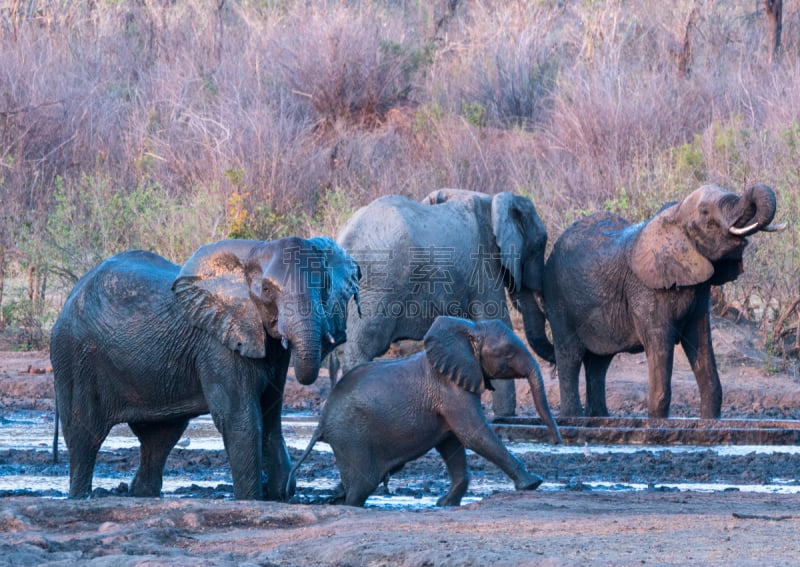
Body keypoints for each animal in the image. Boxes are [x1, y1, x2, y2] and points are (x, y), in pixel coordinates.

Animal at [50, 237, 360, 500]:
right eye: (267, 290)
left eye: (324, 286)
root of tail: (70, 296)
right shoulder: (219, 342)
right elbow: (241, 418)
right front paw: (252, 499)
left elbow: (271, 417)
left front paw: (278, 494)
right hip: (74, 357)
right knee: (85, 436)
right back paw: (80, 496)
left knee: (159, 440)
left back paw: (141, 495)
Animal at [290, 318, 564, 508]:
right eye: (506, 354)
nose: (558, 442)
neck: (470, 330)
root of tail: (322, 421)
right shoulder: (451, 388)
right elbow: (473, 435)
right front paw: (533, 483)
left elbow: (451, 442)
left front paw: (445, 504)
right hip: (351, 437)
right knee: (360, 488)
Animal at [334, 191, 552, 418]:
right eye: (539, 245)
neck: (492, 202)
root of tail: (345, 238)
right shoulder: (482, 265)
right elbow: (495, 319)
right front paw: (505, 417)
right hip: (379, 281)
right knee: (363, 344)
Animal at [540, 184, 784, 420]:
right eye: (706, 212)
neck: (675, 215)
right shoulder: (646, 289)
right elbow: (660, 341)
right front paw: (658, 422)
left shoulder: (698, 290)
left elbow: (700, 339)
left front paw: (710, 421)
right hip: (558, 299)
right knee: (570, 355)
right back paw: (573, 418)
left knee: (599, 362)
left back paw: (599, 417)